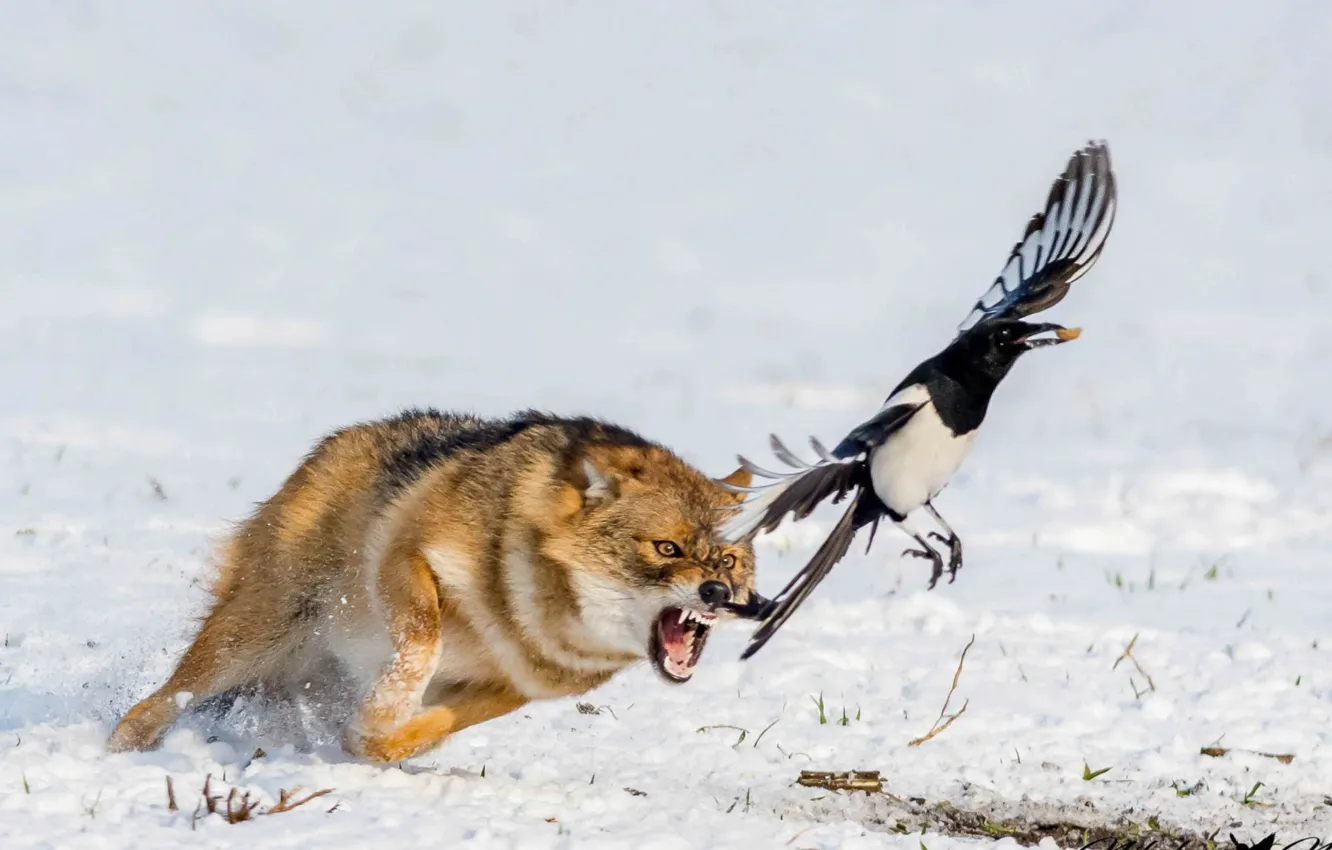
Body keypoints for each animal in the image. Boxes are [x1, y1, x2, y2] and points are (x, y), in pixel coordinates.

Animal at [108, 409, 757, 762]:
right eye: (667, 549)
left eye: (727, 561)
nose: (720, 596)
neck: (527, 618)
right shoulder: (407, 558)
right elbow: (422, 643)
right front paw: (384, 711)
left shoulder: (513, 689)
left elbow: (427, 729)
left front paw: (372, 741)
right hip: (254, 637)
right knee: (150, 707)